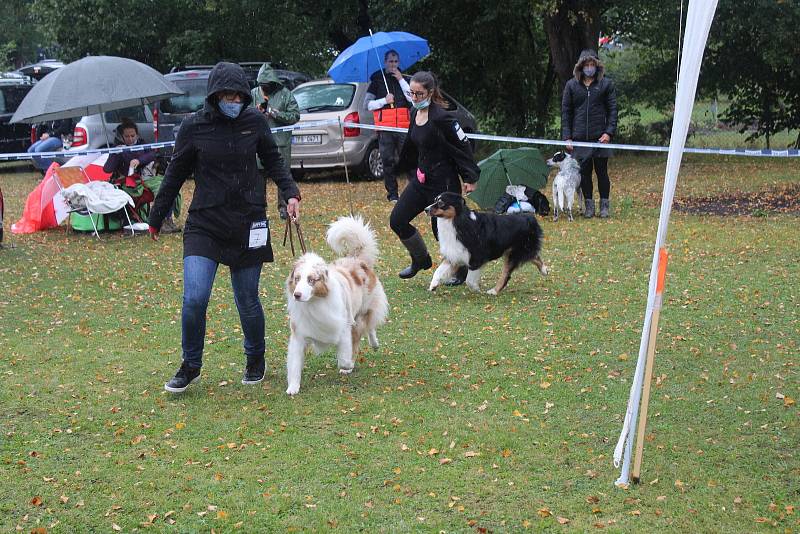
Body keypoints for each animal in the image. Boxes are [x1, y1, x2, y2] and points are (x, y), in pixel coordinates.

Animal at [286, 216, 390, 396]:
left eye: (311, 280)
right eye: (297, 279)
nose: (297, 295)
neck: (315, 303)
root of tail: (357, 259)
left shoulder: (344, 328)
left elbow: (345, 357)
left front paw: (348, 366)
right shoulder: (299, 334)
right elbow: (295, 364)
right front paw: (293, 387)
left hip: (363, 310)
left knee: (369, 325)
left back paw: (374, 344)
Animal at [424, 193, 552, 296]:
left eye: (441, 203)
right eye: (434, 200)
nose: (426, 209)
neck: (456, 221)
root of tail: (529, 217)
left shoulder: (476, 257)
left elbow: (469, 280)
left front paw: (476, 289)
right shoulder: (454, 254)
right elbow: (438, 271)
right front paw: (433, 285)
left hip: (515, 253)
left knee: (507, 274)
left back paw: (494, 291)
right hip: (517, 250)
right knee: (534, 256)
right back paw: (544, 270)